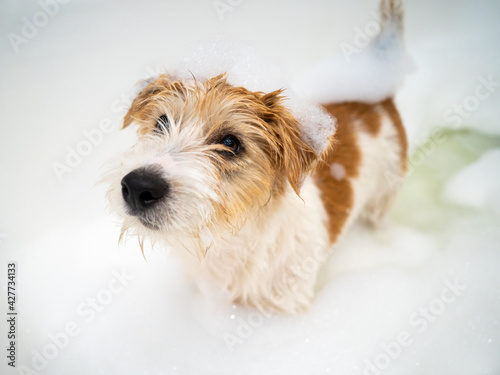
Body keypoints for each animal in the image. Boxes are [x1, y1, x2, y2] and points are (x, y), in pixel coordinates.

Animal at [104, 0, 406, 314]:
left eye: (231, 143)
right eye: (161, 122)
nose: (139, 186)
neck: (233, 243)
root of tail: (379, 98)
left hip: (385, 194)